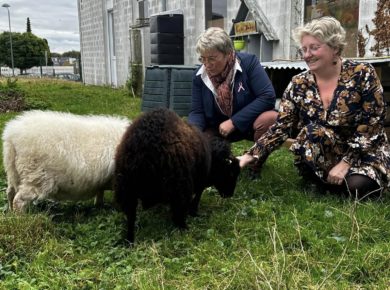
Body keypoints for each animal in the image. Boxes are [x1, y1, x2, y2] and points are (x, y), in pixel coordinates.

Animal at [2, 110, 131, 212]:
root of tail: (11, 135)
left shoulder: (104, 180)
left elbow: (100, 193)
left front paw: (99, 207)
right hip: (36, 176)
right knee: (19, 200)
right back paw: (21, 218)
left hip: (13, 171)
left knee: (10, 193)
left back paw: (11, 214)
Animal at [114, 107, 239, 244]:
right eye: (231, 173)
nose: (230, 194)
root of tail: (144, 141)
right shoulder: (199, 181)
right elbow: (196, 198)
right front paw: (194, 213)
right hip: (178, 184)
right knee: (178, 212)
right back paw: (185, 229)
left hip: (126, 186)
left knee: (130, 217)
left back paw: (129, 241)